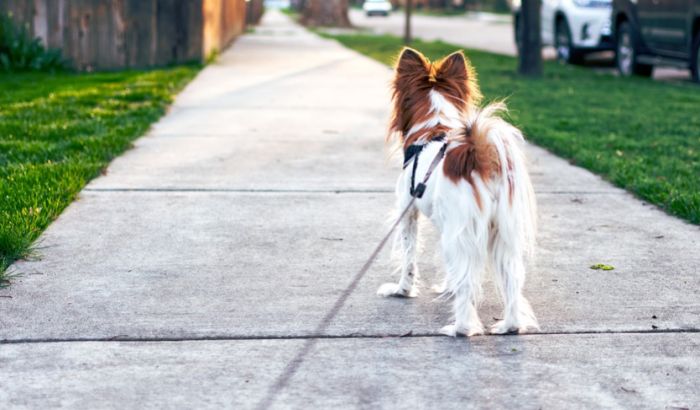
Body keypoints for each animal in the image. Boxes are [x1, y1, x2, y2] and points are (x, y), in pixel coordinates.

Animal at [374, 48, 540, 336]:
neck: (434, 127)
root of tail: (480, 156)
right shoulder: (448, 225)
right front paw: (446, 287)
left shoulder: (409, 212)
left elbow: (409, 257)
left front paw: (402, 291)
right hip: (502, 233)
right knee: (512, 280)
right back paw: (510, 326)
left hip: (462, 231)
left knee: (468, 283)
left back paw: (460, 328)